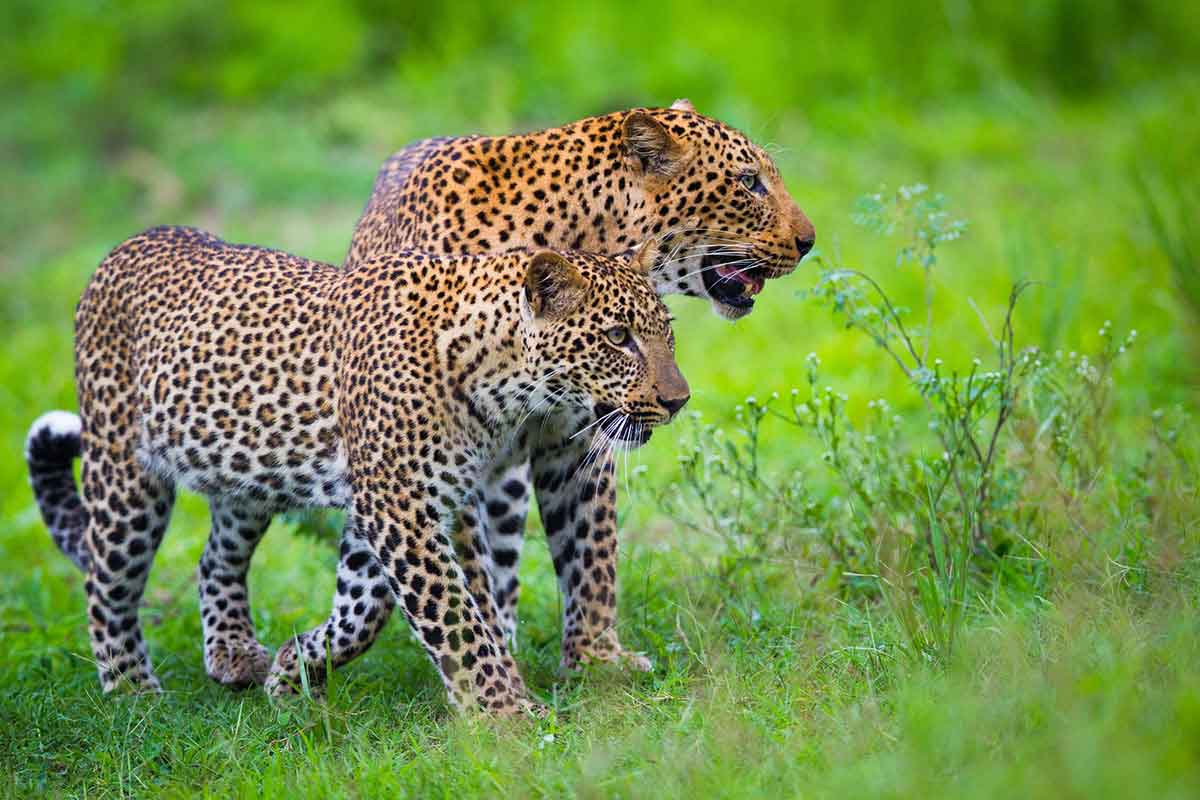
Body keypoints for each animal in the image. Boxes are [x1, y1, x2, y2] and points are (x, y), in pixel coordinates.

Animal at [25, 224, 686, 714]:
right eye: (618, 337)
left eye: (668, 333)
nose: (679, 399)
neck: (497, 379)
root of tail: (126, 245)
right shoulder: (399, 507)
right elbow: (457, 617)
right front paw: (507, 713)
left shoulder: (394, 505)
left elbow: (365, 611)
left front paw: (293, 671)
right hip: (123, 472)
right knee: (107, 581)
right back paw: (131, 689)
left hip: (245, 474)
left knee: (214, 558)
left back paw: (236, 655)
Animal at [253, 98, 816, 690]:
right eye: (750, 183)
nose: (810, 241)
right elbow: (460, 578)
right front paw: (487, 665)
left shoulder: (577, 437)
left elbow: (591, 545)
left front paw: (595, 658)